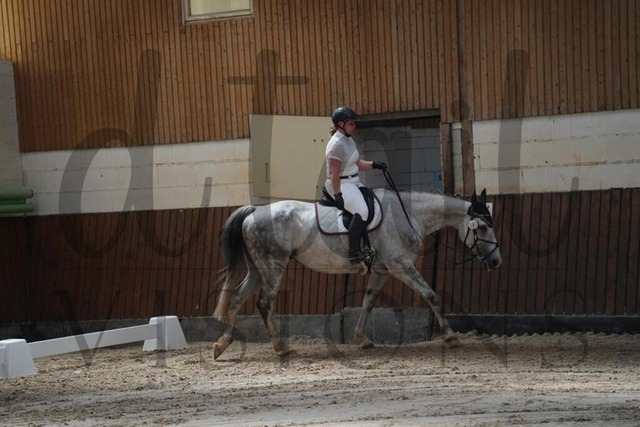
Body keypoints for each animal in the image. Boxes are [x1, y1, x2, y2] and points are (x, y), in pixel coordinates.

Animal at [212, 188, 502, 359]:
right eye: (483, 228)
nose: (497, 262)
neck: (407, 215)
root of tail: (254, 211)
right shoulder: (401, 267)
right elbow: (431, 295)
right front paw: (451, 336)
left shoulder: (383, 270)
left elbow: (368, 302)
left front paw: (362, 339)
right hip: (273, 265)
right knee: (264, 303)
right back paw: (280, 347)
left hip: (257, 268)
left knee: (236, 298)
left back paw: (223, 343)